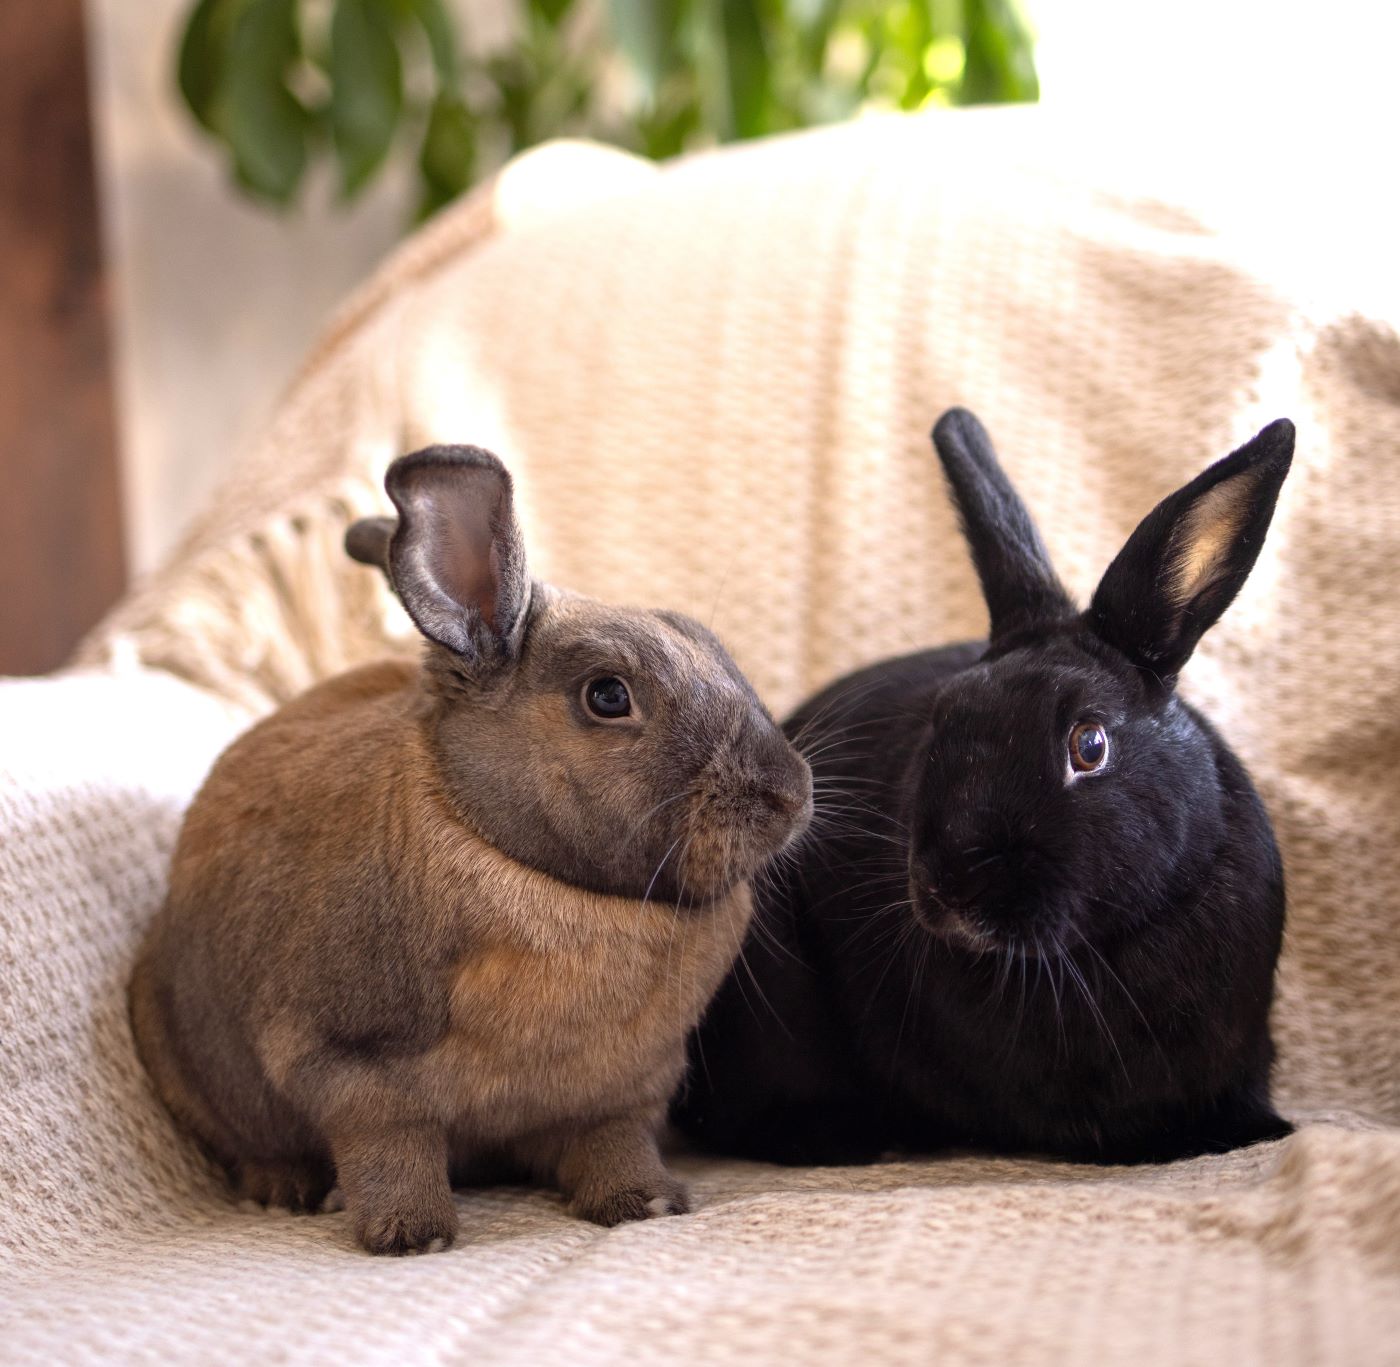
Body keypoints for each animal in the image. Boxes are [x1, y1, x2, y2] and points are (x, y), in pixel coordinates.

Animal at [133, 442, 812, 1254]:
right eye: (608, 695)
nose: (790, 793)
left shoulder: (619, 1095)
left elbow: (614, 1146)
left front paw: (645, 1203)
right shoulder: (348, 1072)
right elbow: (392, 1153)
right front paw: (411, 1236)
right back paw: (287, 1188)